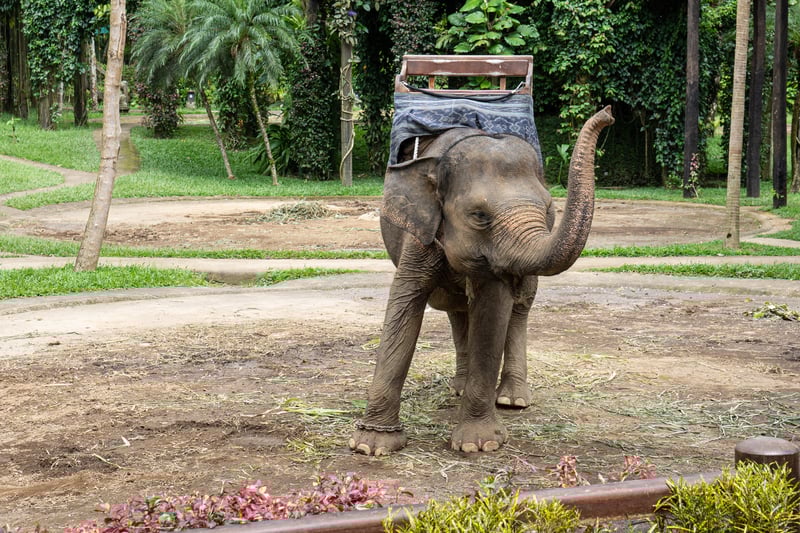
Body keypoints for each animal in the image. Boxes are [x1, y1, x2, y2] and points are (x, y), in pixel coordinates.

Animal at [349, 106, 614, 455]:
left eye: (548, 210)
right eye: (479, 216)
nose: (608, 114)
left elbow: (492, 314)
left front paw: (477, 444)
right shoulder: (418, 237)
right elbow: (404, 305)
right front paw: (371, 446)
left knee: (519, 309)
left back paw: (512, 400)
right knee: (457, 312)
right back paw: (460, 388)